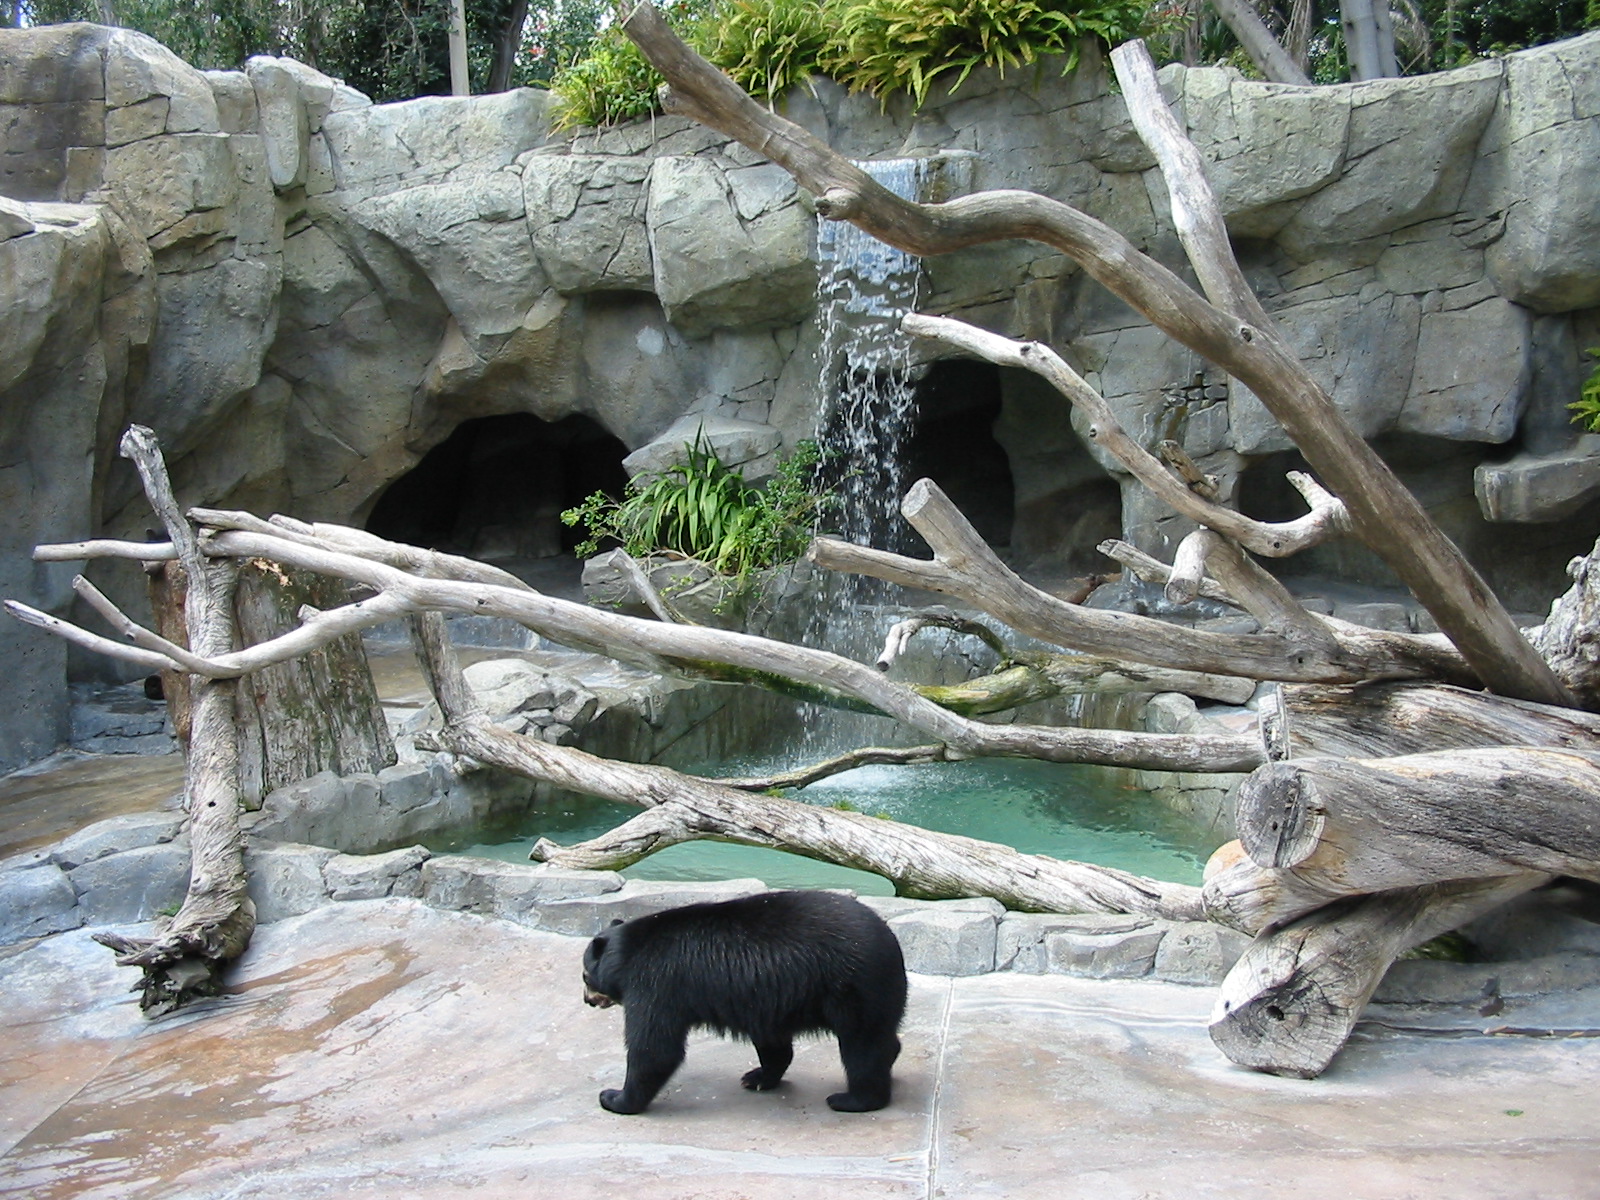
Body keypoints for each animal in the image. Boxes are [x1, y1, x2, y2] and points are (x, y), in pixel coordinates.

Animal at [581, 890, 907, 1115]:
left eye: (585, 975)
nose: (587, 1001)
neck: (630, 951)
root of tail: (891, 940)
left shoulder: (656, 983)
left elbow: (654, 1048)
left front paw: (614, 1098)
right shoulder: (762, 1000)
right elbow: (773, 1043)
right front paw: (758, 1077)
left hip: (855, 988)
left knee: (862, 1045)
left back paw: (853, 1099)